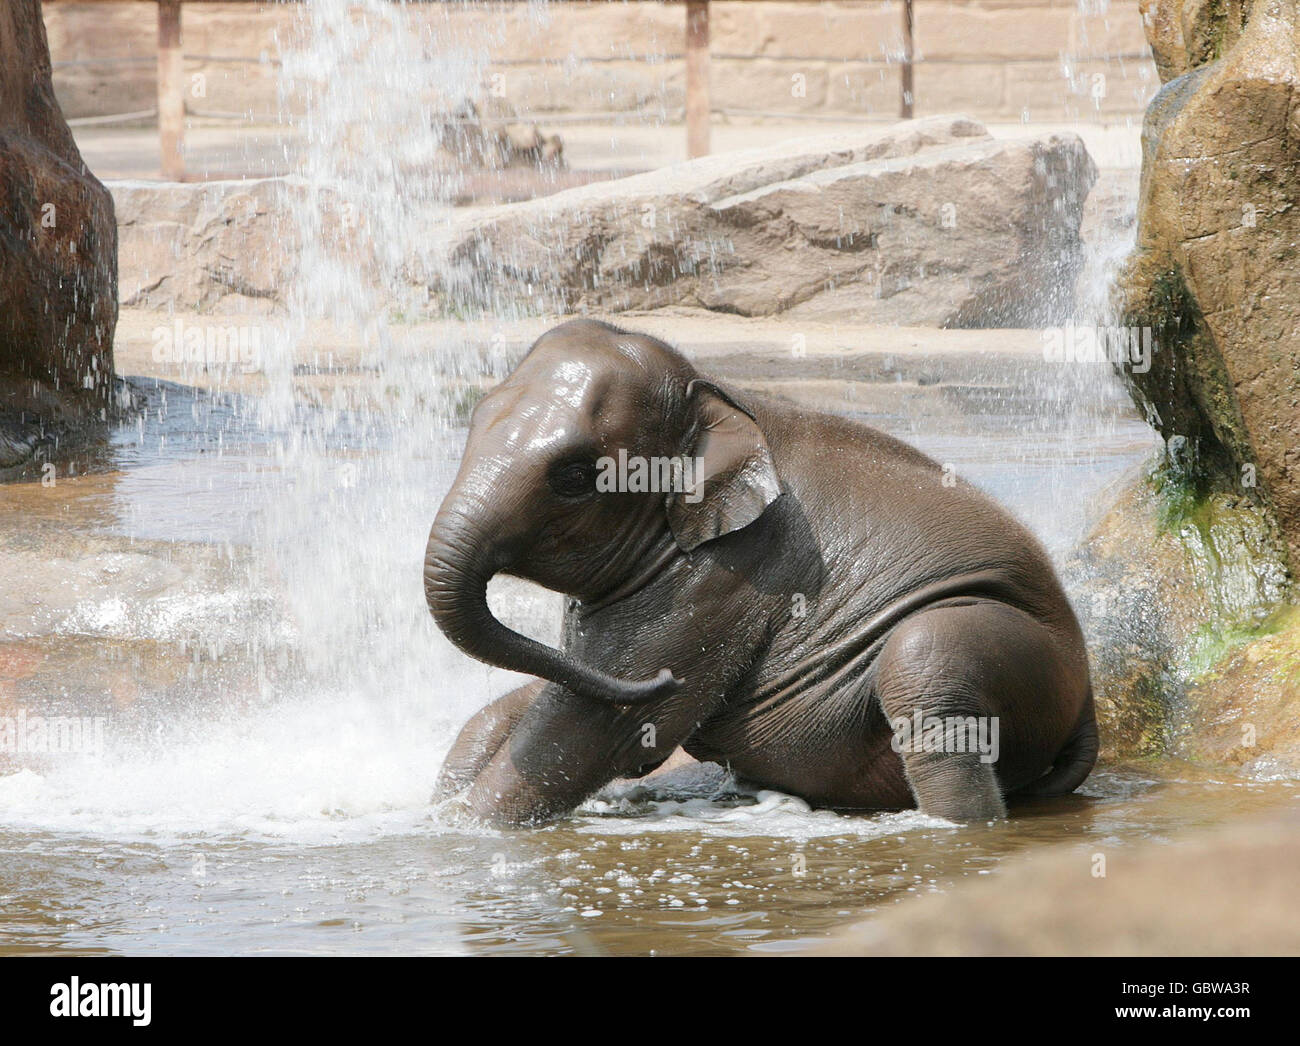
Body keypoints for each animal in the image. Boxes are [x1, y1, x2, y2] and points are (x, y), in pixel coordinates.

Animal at [426, 318, 1097, 826]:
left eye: (572, 476)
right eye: (474, 418)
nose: (667, 681)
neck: (718, 396)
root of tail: (1088, 704)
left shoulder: (723, 573)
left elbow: (598, 726)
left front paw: (457, 831)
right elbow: (574, 689)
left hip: (1023, 660)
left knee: (927, 658)